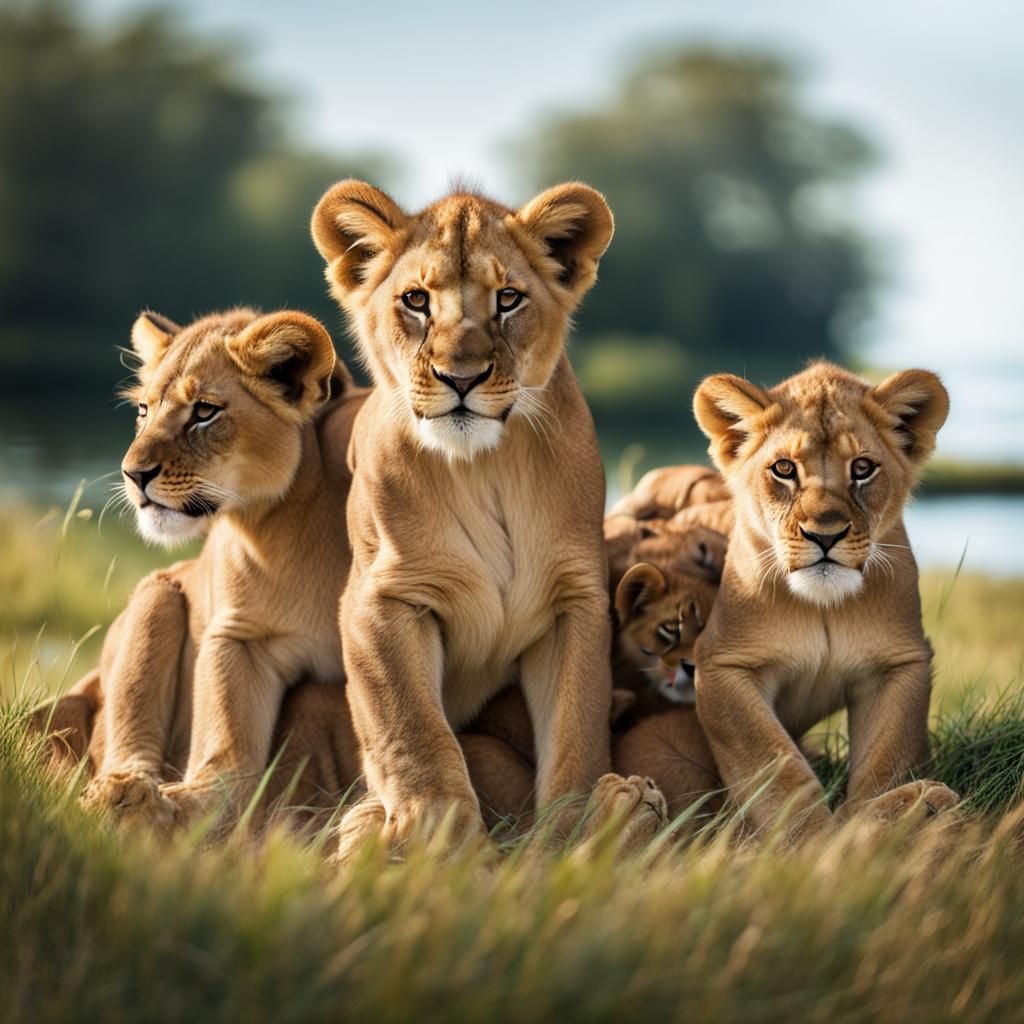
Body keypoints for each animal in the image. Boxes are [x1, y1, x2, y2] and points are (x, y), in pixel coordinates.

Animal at [312, 179, 666, 855]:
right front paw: (438, 840)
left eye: (508, 299)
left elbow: (577, 730)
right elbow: (412, 728)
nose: (461, 377)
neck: (483, 469)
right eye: (416, 301)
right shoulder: (380, 598)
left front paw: (572, 838)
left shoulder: (573, 599)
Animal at [690, 360, 959, 838]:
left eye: (863, 468)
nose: (825, 534)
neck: (823, 608)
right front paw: (817, 838)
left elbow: (885, 761)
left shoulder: (899, 664)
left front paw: (883, 819)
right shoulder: (722, 664)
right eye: (783, 469)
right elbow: (775, 764)